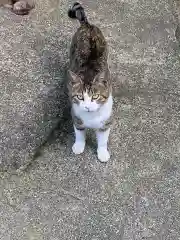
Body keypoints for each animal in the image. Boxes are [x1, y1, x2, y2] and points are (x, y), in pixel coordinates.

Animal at [67, 1, 112, 162]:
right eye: (80, 97)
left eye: (95, 96)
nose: (87, 107)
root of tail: (87, 25)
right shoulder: (76, 117)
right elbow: (79, 133)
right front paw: (79, 146)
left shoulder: (106, 122)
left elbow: (103, 140)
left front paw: (102, 153)